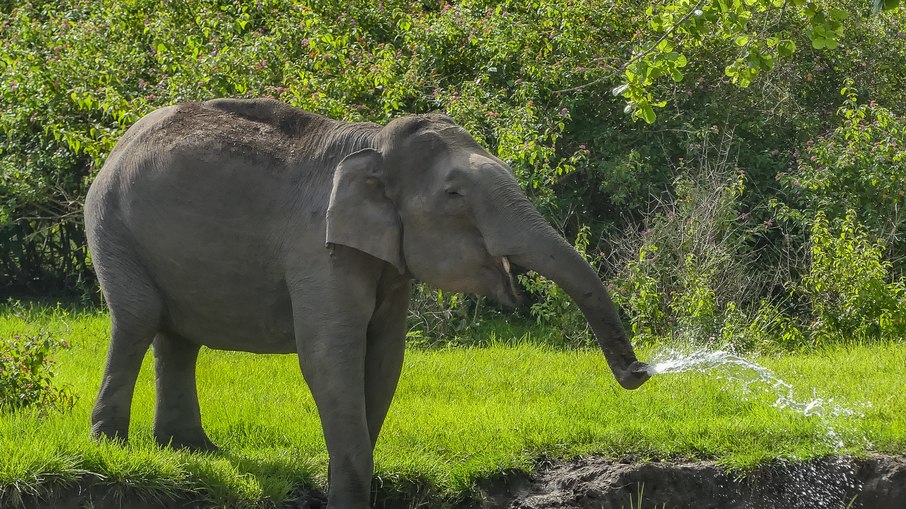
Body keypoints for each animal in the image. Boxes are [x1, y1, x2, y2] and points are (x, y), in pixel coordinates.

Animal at [84, 98, 651, 509]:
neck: (374, 143)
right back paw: (112, 449)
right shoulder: (317, 248)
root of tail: (120, 141)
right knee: (138, 320)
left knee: (177, 337)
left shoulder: (389, 263)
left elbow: (383, 358)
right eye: (454, 195)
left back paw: (191, 450)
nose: (639, 372)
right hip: (111, 225)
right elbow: (330, 356)